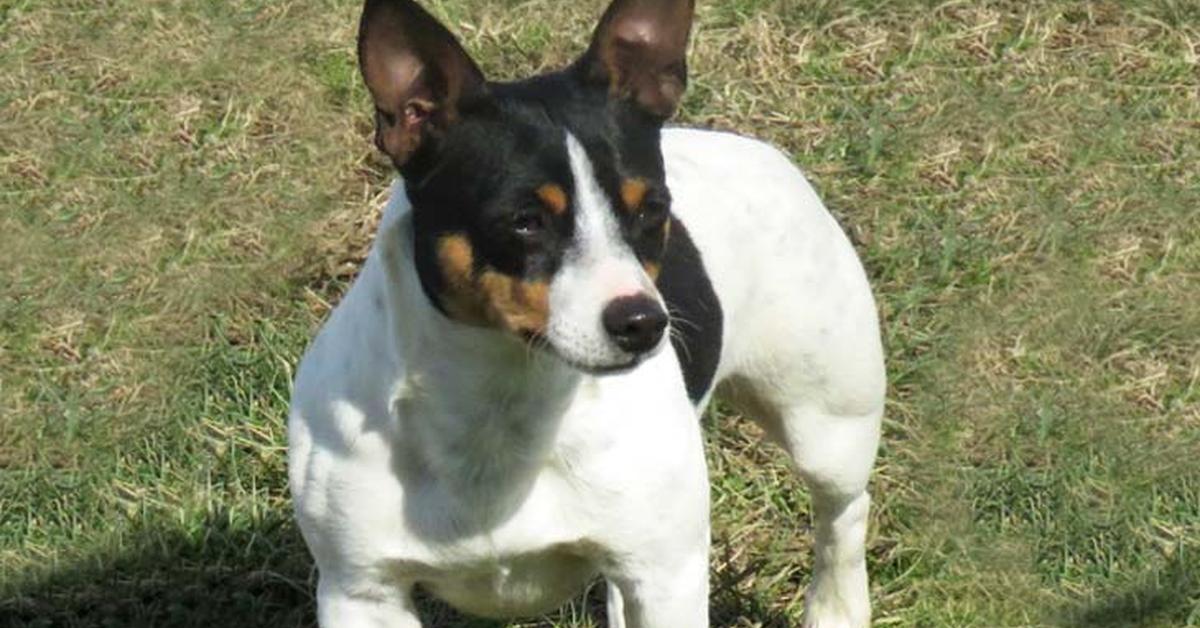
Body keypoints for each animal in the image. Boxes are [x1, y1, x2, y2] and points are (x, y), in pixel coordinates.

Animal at [285, 1, 888, 624]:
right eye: (525, 221)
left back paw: (837, 607)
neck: (501, 398)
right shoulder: (362, 591)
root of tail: (761, 151)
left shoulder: (666, 578)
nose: (643, 323)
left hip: (827, 426)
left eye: (653, 209)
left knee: (843, 512)